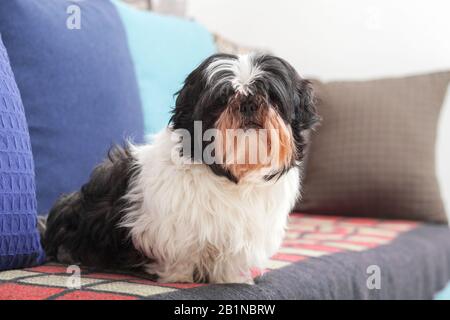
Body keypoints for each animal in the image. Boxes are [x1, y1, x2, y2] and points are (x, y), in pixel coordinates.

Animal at [41, 53, 316, 284]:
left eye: (271, 96)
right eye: (222, 100)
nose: (247, 103)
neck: (234, 177)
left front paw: (231, 279)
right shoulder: (172, 234)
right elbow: (182, 257)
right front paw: (181, 277)